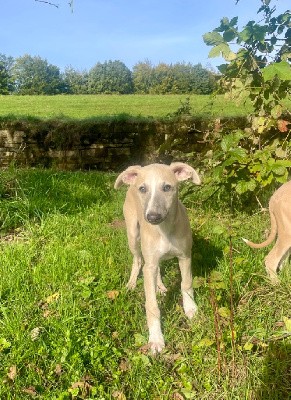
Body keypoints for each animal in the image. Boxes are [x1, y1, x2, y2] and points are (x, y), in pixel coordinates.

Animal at [115, 162, 202, 354]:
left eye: (167, 187)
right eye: (143, 189)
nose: (152, 217)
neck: (165, 230)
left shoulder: (185, 256)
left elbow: (186, 284)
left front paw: (191, 308)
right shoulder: (150, 266)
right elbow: (152, 305)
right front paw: (156, 339)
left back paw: (160, 286)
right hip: (133, 235)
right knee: (138, 260)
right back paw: (132, 283)